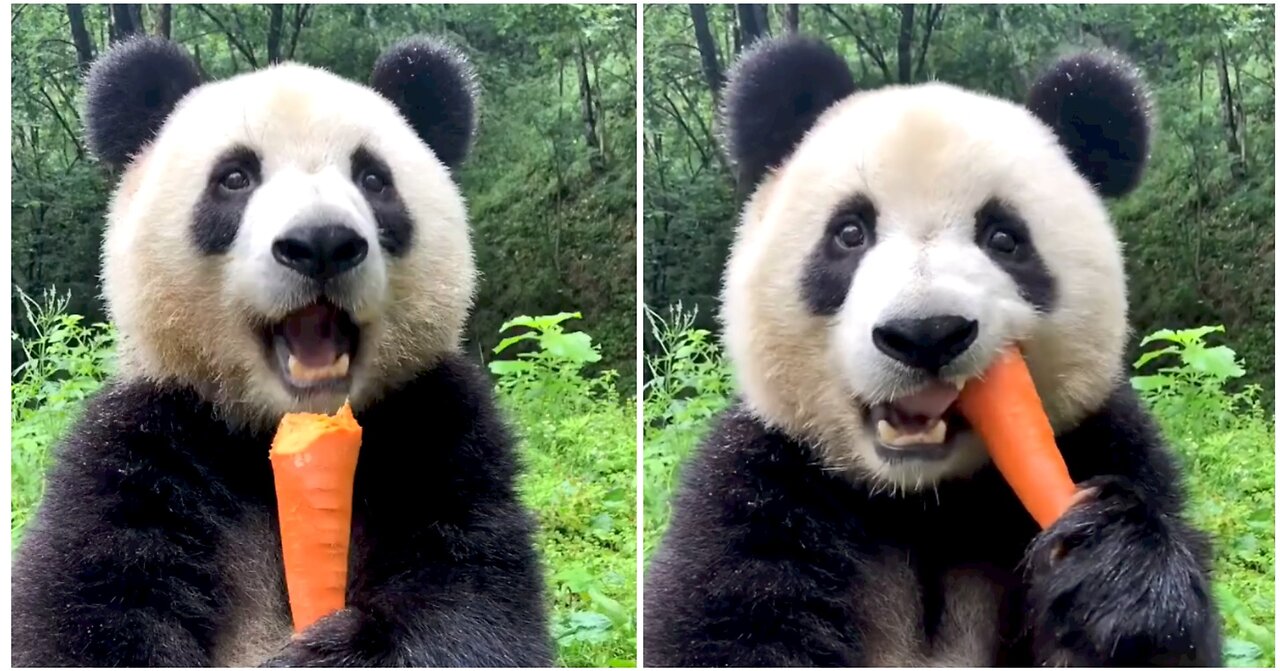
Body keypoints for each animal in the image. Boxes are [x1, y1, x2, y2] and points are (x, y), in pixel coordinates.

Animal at [11, 35, 550, 665]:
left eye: (374, 178)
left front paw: (323, 650)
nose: (322, 242)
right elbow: (83, 613)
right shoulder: (144, 448)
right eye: (235, 177)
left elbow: (472, 602)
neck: (280, 438)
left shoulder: (439, 432)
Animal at [645, 35, 1223, 665]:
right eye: (850, 233)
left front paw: (1115, 574)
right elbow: (725, 623)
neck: (923, 504)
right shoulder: (762, 489)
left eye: (1004, 238)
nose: (925, 334)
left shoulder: (1106, 443)